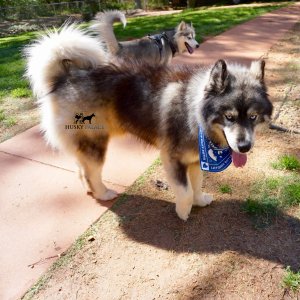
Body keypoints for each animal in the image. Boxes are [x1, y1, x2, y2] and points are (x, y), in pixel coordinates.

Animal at [27, 25, 274, 220]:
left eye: (252, 117)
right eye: (229, 117)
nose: (244, 147)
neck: (194, 111)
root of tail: (65, 76)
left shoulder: (195, 160)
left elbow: (196, 184)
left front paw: (199, 200)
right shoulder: (173, 159)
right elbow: (185, 191)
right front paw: (183, 212)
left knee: (81, 169)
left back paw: (90, 190)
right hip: (95, 143)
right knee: (91, 172)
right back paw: (103, 193)